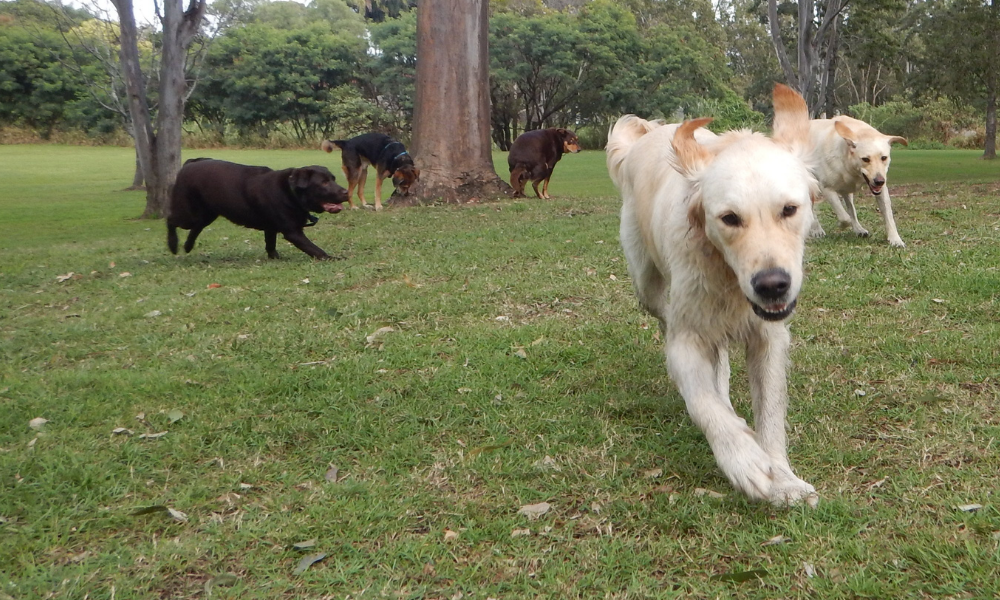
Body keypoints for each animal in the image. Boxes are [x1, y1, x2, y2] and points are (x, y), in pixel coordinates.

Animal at [167, 159, 348, 260]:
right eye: (324, 183)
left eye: (333, 179)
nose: (346, 192)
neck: (290, 192)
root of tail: (188, 164)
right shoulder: (293, 232)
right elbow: (315, 249)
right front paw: (332, 258)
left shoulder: (271, 227)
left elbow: (270, 244)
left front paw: (274, 258)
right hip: (187, 213)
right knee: (170, 220)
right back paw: (173, 245)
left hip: (206, 214)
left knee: (196, 227)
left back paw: (187, 246)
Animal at [608, 84, 820, 506]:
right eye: (729, 218)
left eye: (789, 209)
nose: (772, 284)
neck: (728, 278)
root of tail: (648, 133)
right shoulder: (686, 340)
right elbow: (703, 403)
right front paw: (744, 461)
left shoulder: (769, 338)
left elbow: (770, 414)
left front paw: (783, 477)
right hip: (646, 282)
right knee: (667, 319)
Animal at [808, 116, 912, 247]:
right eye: (865, 159)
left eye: (884, 158)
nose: (879, 181)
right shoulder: (826, 188)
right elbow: (844, 217)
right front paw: (840, 224)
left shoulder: (881, 190)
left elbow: (888, 216)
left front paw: (895, 239)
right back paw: (816, 229)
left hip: (847, 190)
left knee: (851, 208)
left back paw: (858, 229)